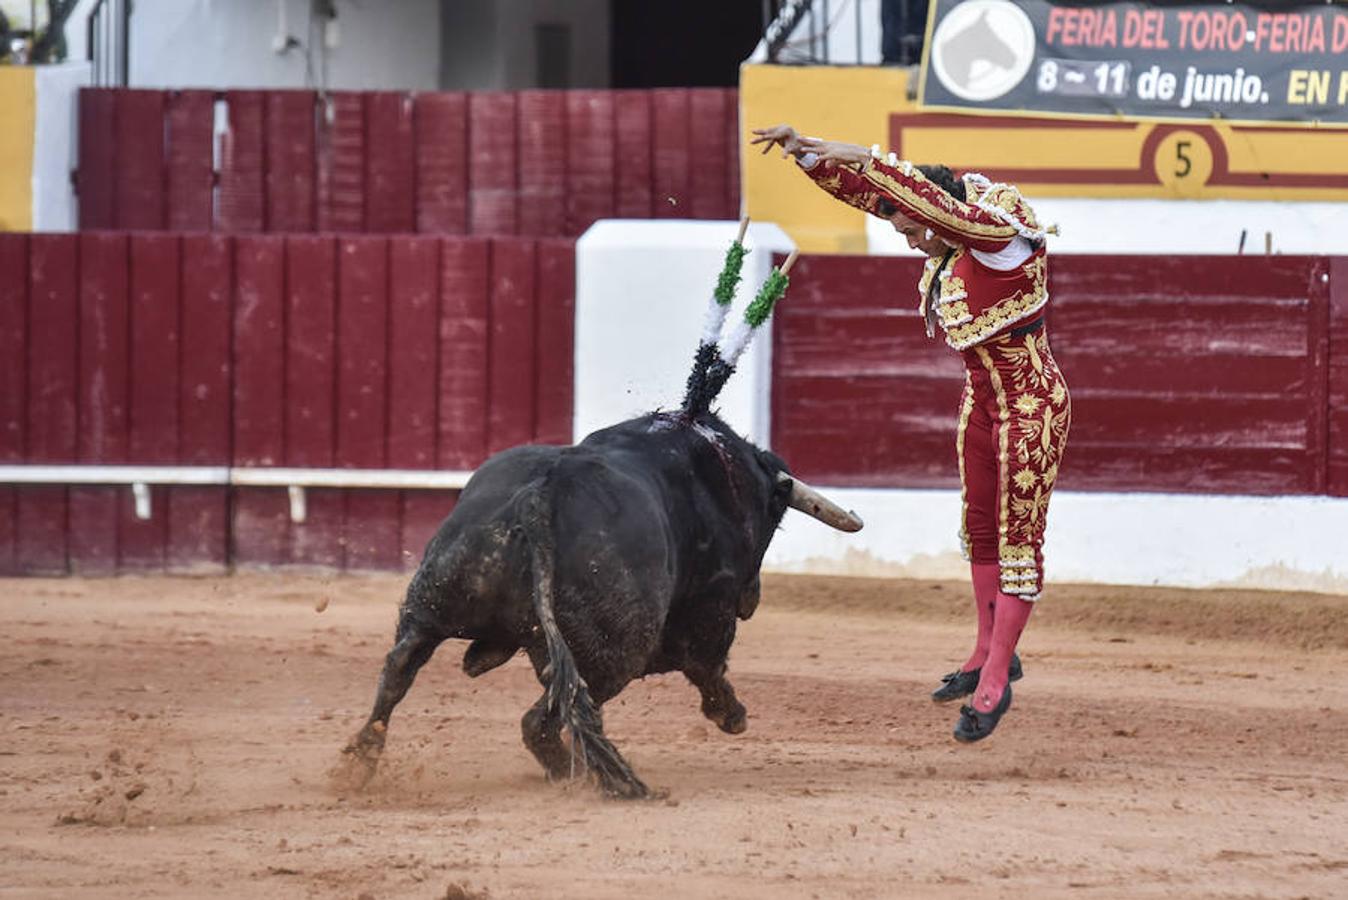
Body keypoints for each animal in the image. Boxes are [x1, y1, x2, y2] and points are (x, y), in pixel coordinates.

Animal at [342, 406, 857, 792]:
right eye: (771, 523)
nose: (752, 600)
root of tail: (539, 496)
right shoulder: (707, 615)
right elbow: (708, 665)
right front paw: (732, 716)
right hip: (612, 658)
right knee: (544, 718)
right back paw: (579, 775)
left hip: (432, 602)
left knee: (398, 671)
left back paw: (356, 763)